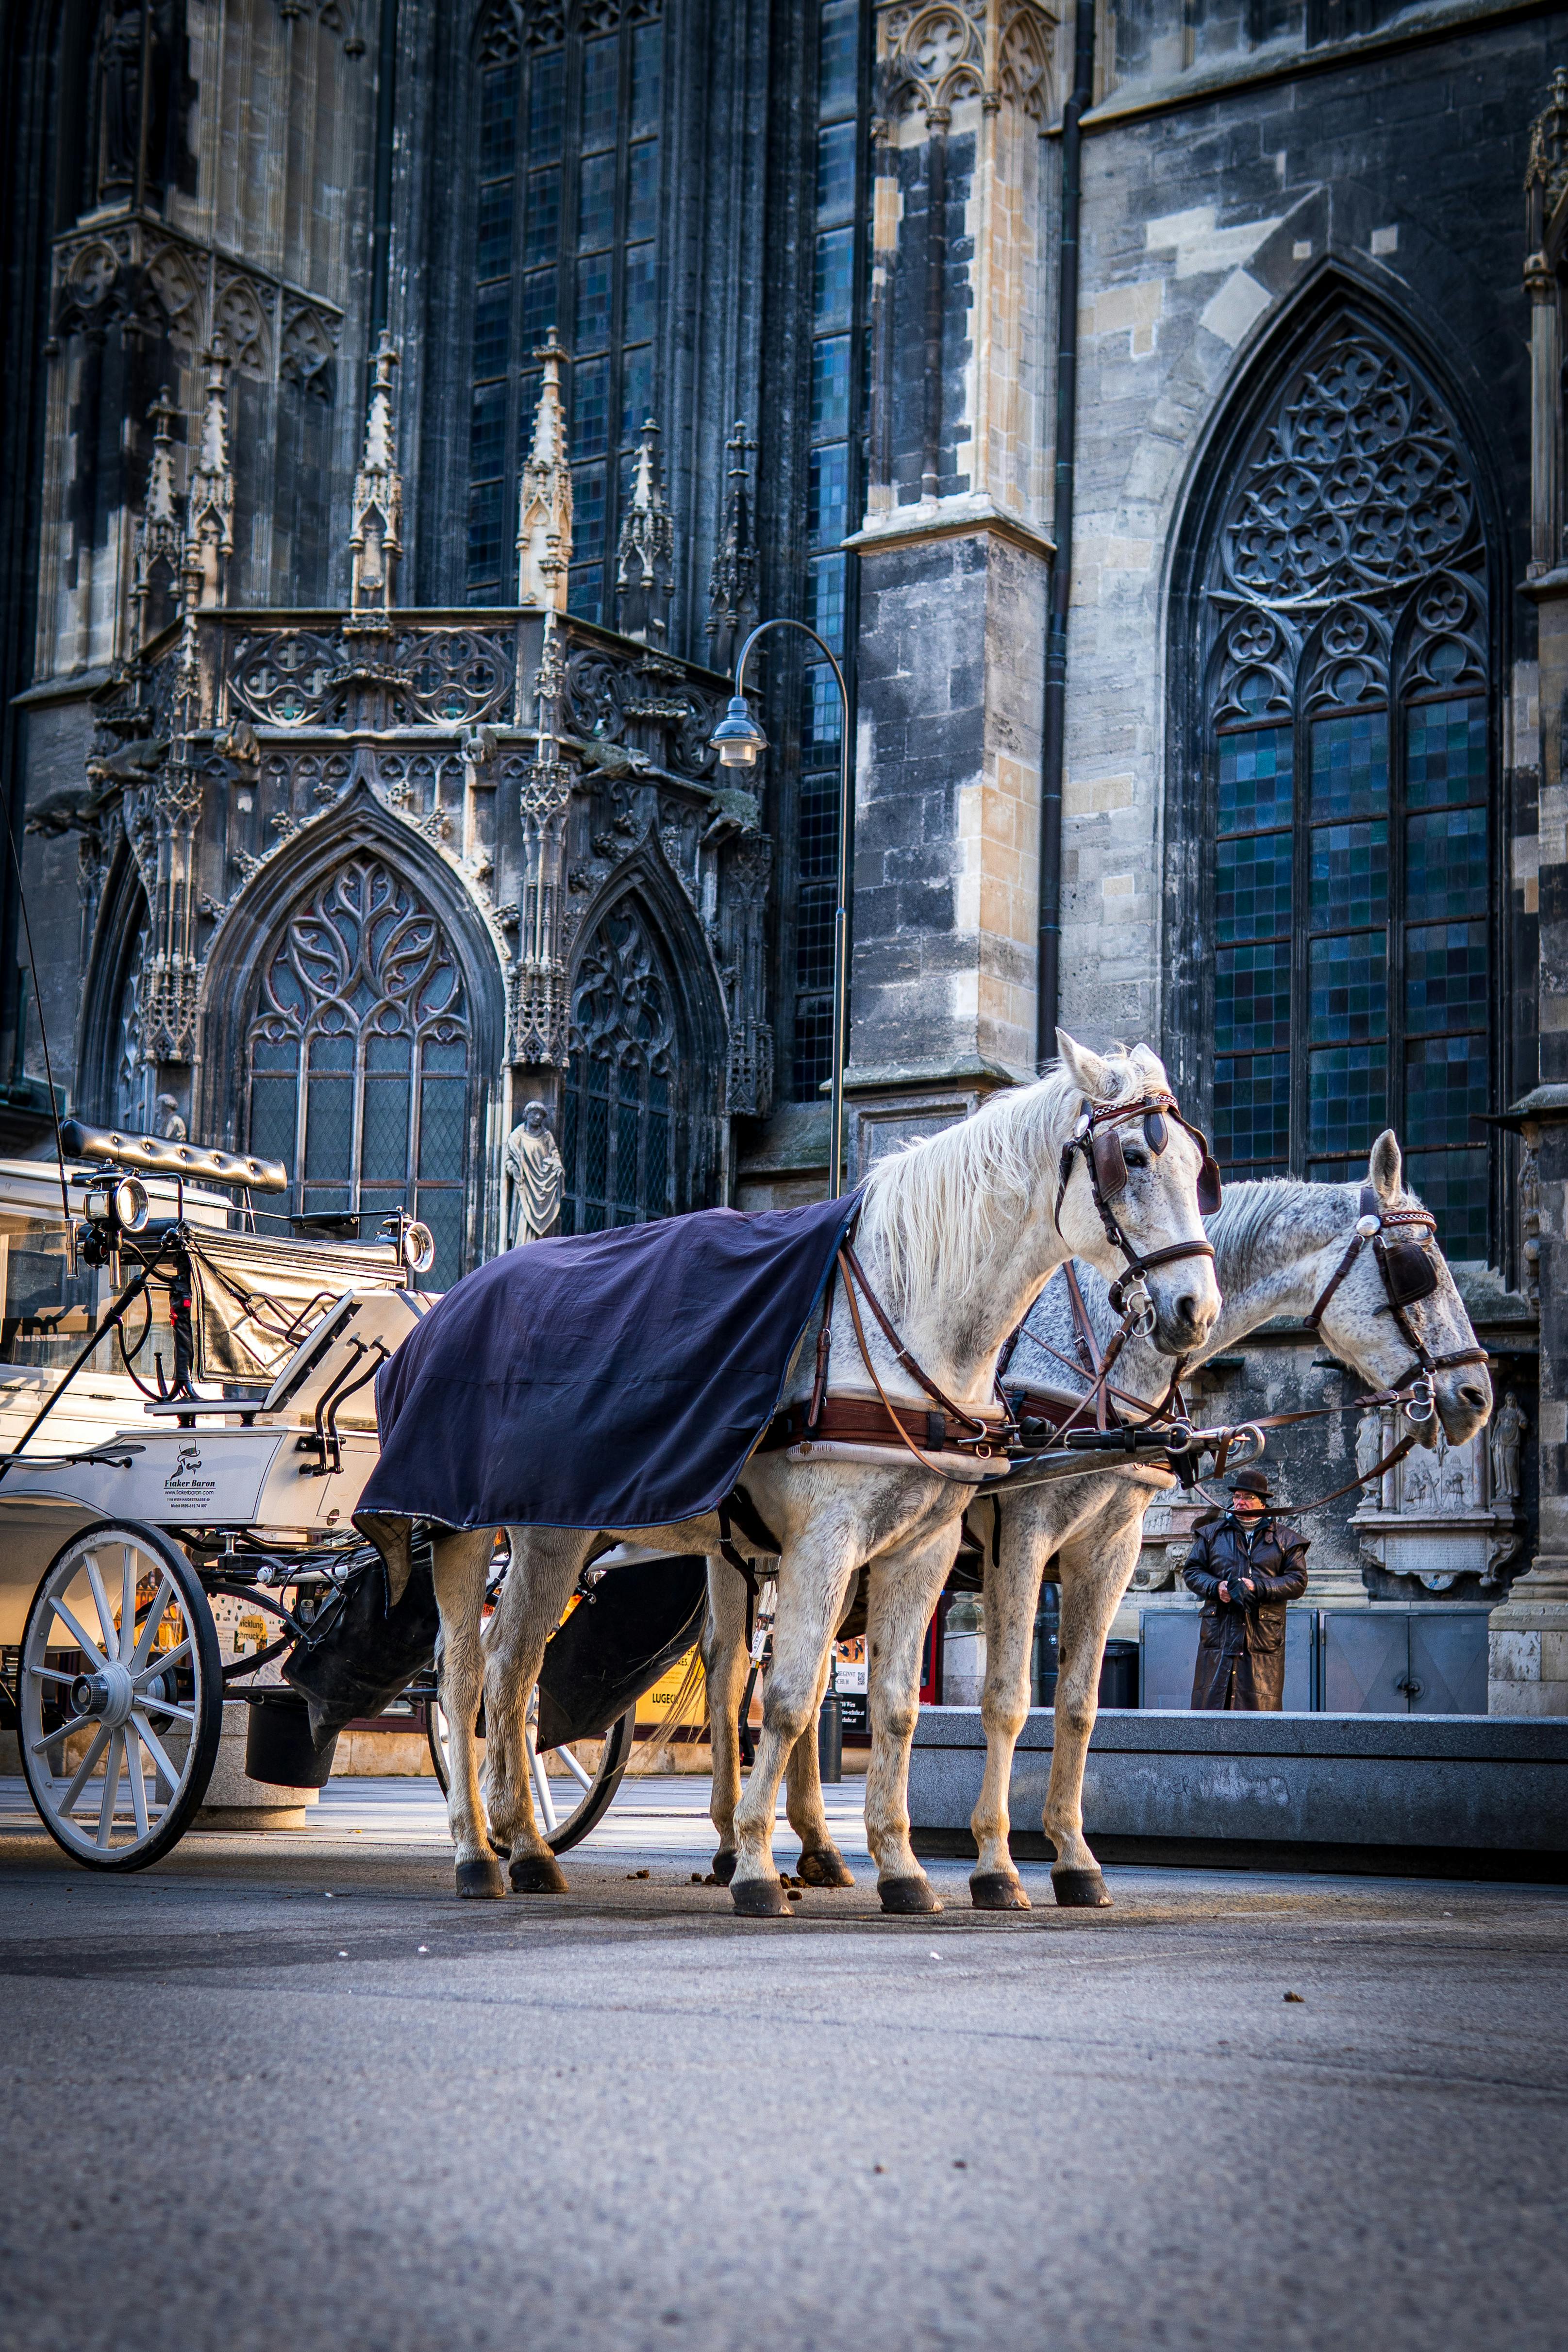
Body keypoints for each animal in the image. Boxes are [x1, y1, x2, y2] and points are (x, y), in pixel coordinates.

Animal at [433, 1044, 1222, 1910]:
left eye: (1198, 1169)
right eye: (1134, 1159)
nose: (1195, 1309)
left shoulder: (947, 1547)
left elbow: (912, 1706)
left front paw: (906, 1866)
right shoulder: (910, 1536)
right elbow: (794, 1700)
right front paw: (758, 1864)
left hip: (560, 1535)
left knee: (519, 1672)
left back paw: (527, 1843)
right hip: (467, 1527)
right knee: (470, 1679)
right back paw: (477, 1848)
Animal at [701, 1119, 1495, 1910]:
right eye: (1416, 1266)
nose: (1476, 1395)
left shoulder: (1110, 1546)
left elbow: (1078, 1705)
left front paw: (1073, 1857)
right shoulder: (1020, 1538)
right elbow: (1007, 1698)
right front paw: (995, 1864)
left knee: (796, 1676)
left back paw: (816, 1846)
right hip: (750, 1549)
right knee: (733, 1670)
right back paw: (735, 1844)